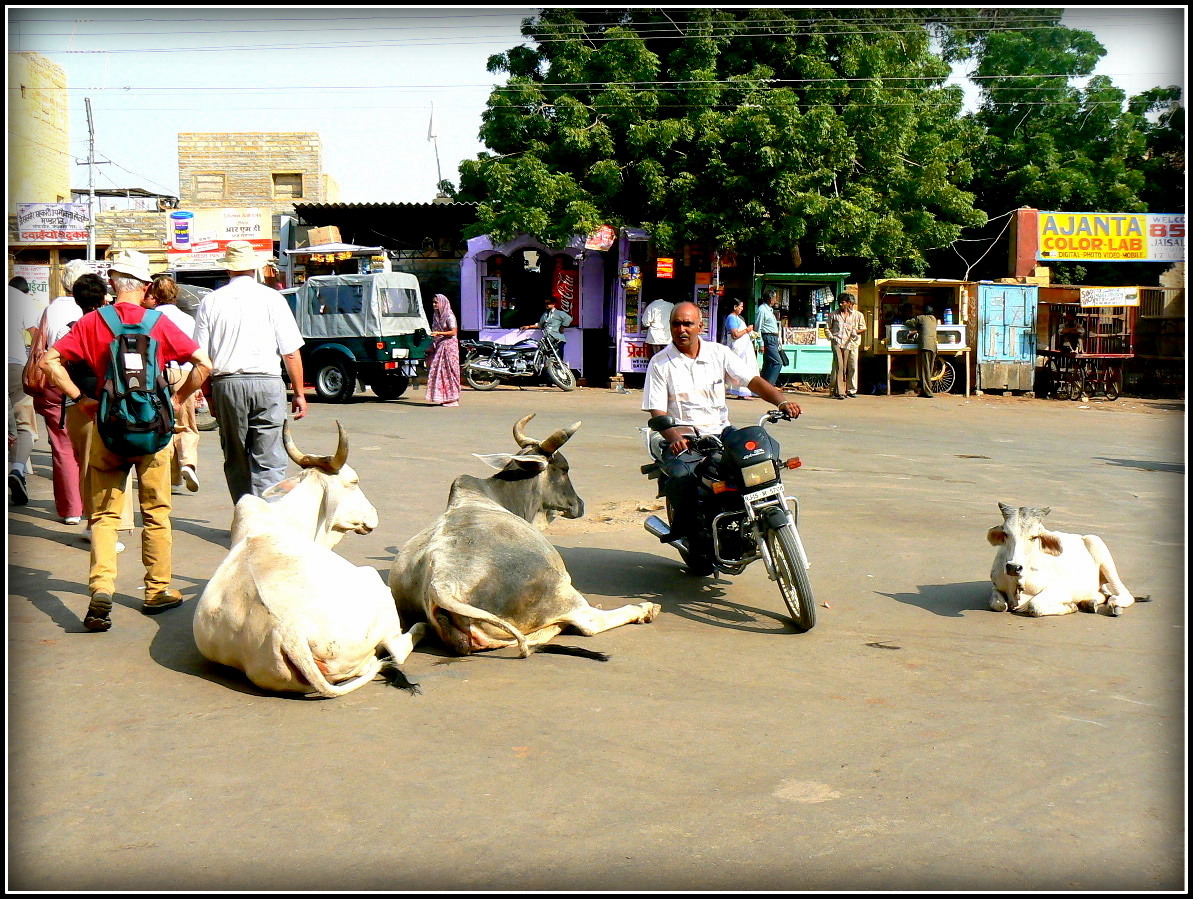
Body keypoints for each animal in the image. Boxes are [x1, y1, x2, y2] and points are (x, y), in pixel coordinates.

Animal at [192, 424, 424, 696]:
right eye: (354, 481)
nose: (373, 515)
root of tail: (291, 633)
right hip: (375, 586)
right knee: (396, 650)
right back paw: (420, 628)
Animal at [388, 410, 663, 653]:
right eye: (564, 469)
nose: (580, 505)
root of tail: (443, 583)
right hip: (561, 591)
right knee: (588, 621)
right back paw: (644, 608)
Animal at [987, 500, 1145, 620]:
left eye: (1034, 536)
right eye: (1006, 534)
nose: (1013, 567)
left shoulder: (1063, 589)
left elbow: (1034, 605)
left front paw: (1070, 606)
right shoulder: (996, 586)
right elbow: (998, 604)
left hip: (1098, 546)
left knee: (1123, 595)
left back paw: (1114, 605)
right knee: (1103, 594)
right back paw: (1090, 603)